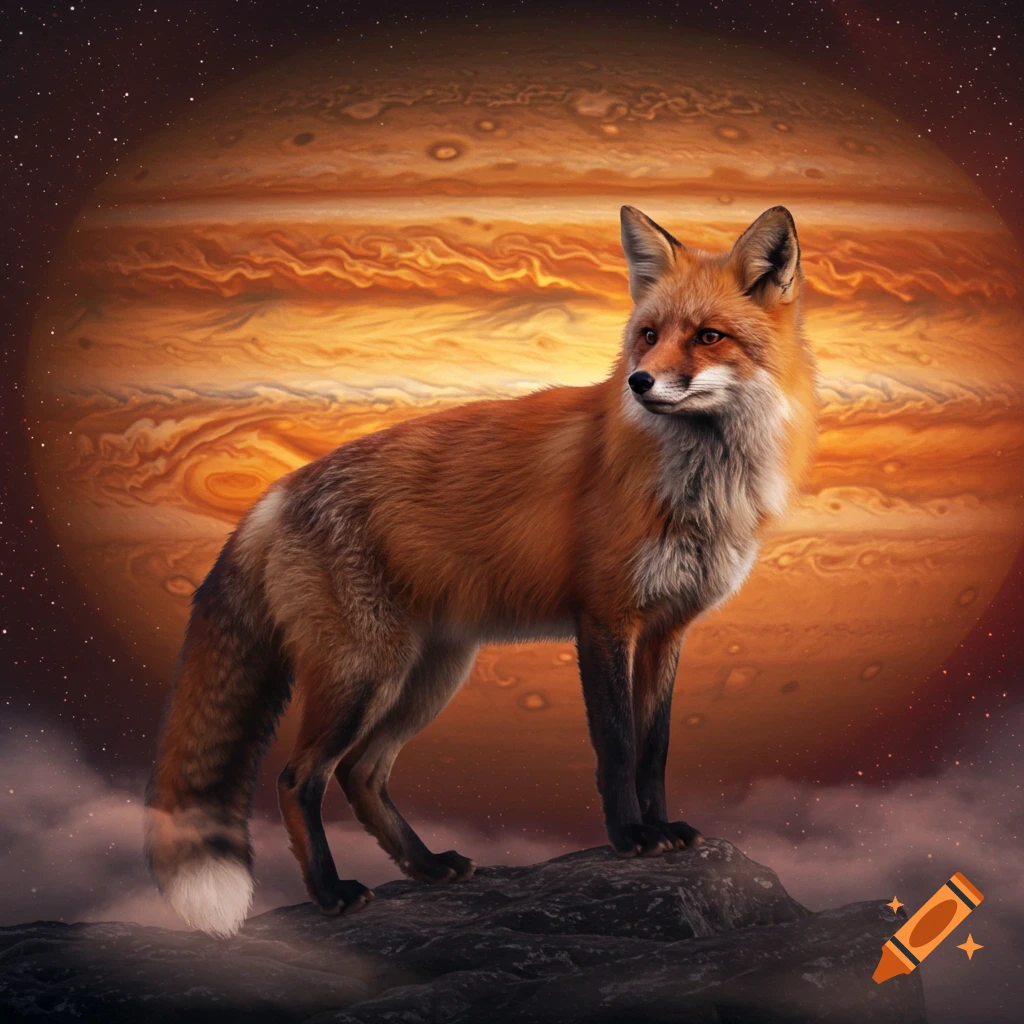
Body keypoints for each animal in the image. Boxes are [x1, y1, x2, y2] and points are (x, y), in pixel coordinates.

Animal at [144, 204, 819, 938]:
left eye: (707, 337)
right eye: (647, 336)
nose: (639, 383)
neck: (699, 486)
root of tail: (278, 490)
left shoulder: (668, 629)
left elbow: (655, 748)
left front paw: (662, 828)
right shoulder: (603, 618)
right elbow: (615, 746)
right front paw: (630, 838)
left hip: (428, 676)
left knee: (362, 774)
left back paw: (426, 866)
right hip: (364, 675)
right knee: (299, 778)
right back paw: (331, 893)